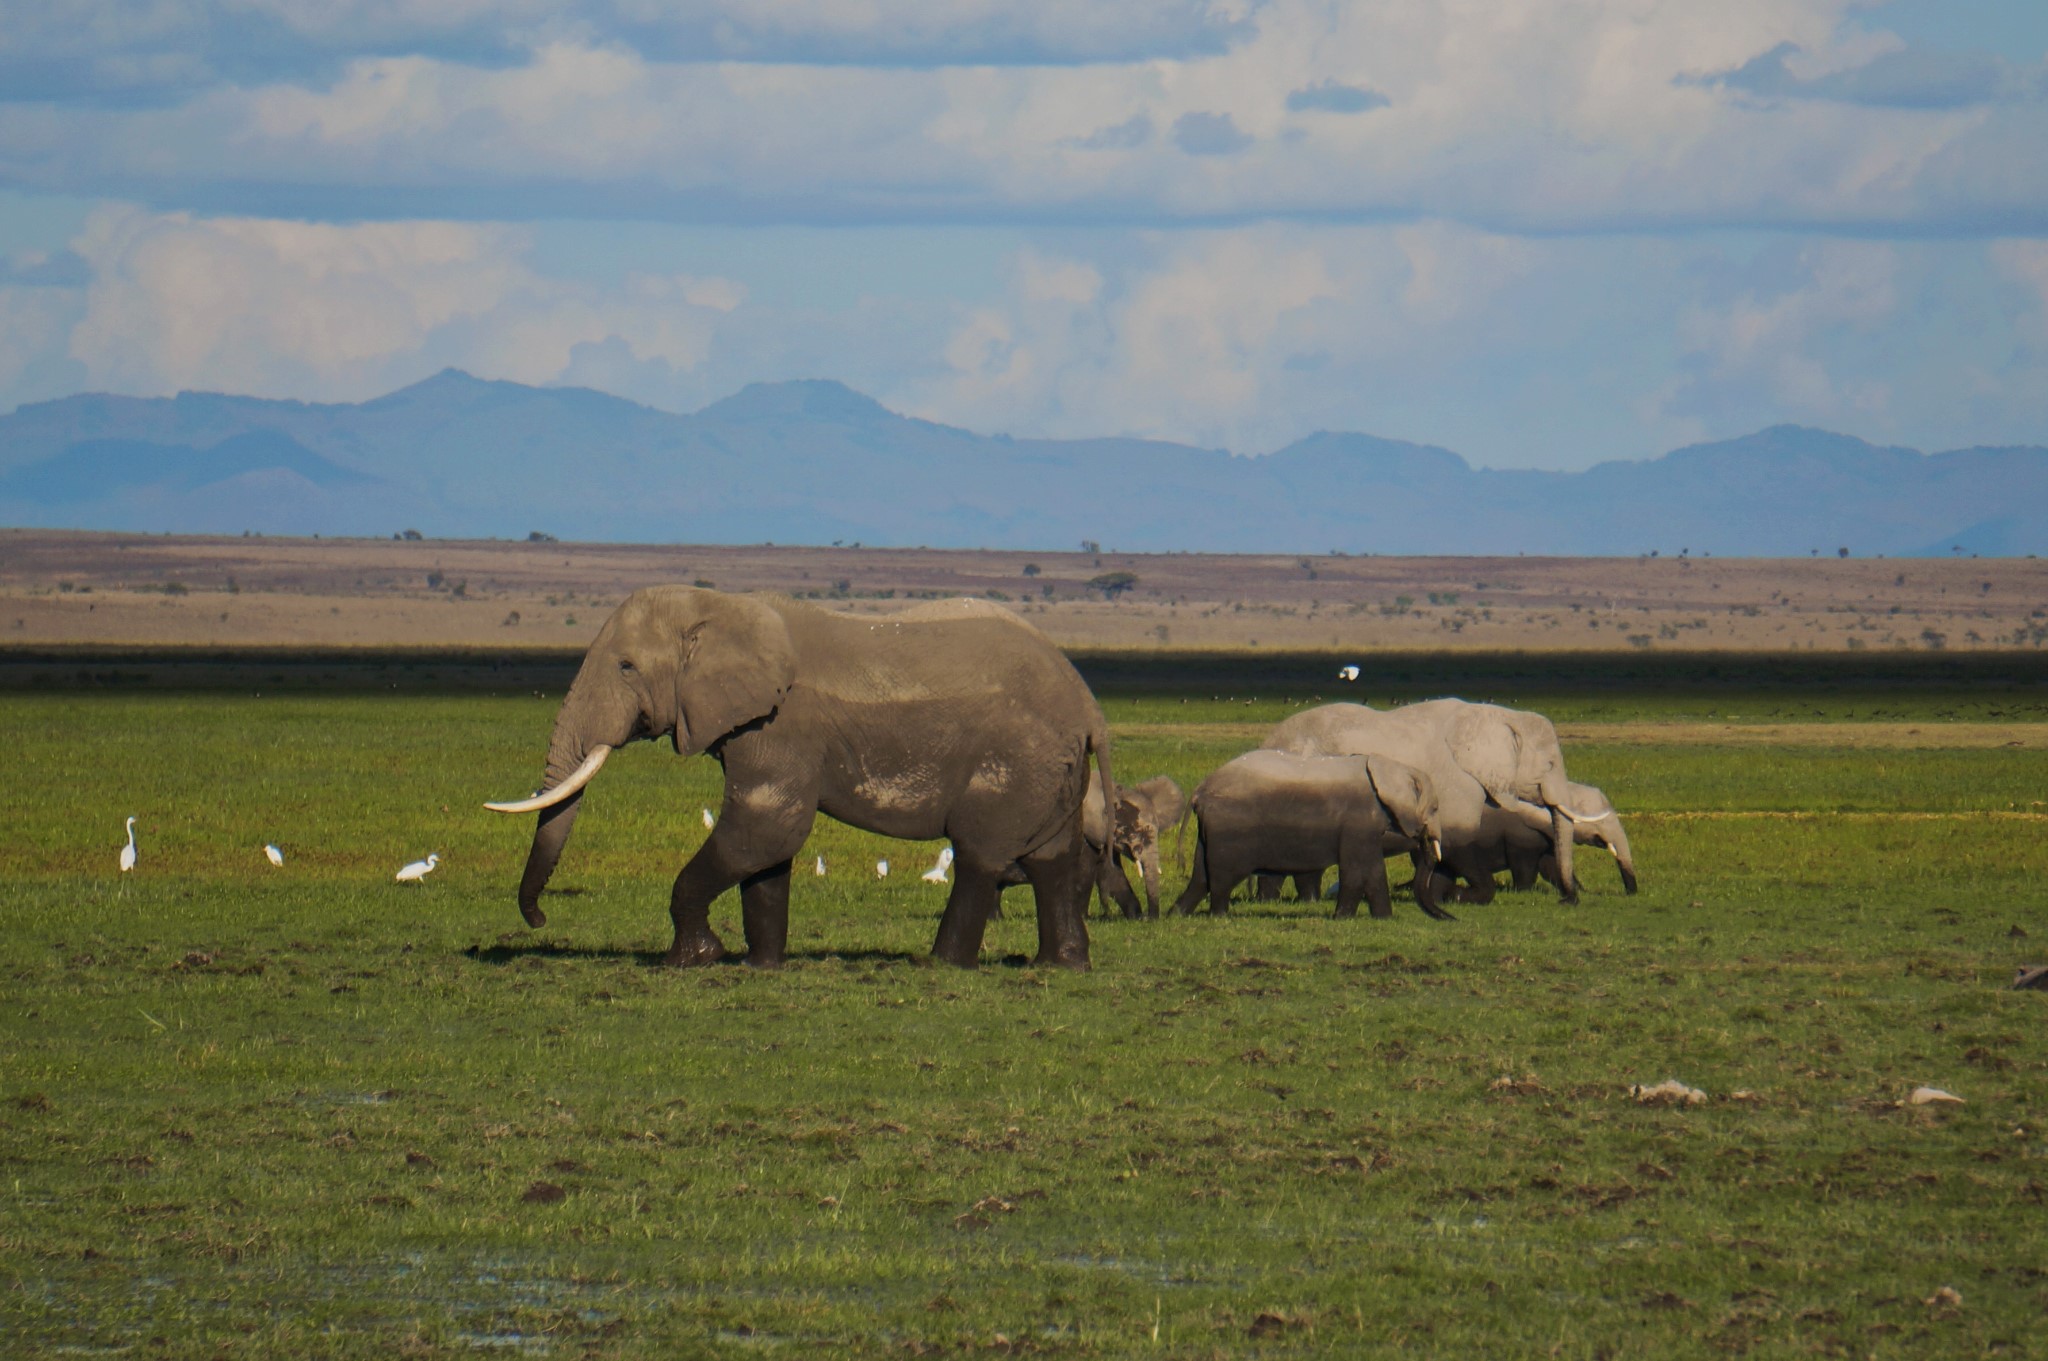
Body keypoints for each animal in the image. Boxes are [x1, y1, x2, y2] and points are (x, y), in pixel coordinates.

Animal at [481, 585, 1122, 966]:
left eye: (625, 666)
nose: (539, 920)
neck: (722, 606)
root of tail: (1090, 706)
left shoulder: (781, 724)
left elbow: (765, 829)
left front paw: (694, 959)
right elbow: (767, 851)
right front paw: (762, 966)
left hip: (1015, 759)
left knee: (982, 856)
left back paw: (942, 964)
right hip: (1053, 770)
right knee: (1051, 860)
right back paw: (1059, 964)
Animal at [1163, 749, 1449, 916]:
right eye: (1435, 808)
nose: (1450, 917)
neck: (1391, 767)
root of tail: (1200, 790)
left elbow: (1372, 871)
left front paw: (1382, 919)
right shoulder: (1358, 822)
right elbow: (1358, 870)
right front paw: (1342, 918)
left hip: (1209, 833)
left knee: (1201, 876)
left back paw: (1175, 915)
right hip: (1229, 831)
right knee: (1222, 877)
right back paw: (1220, 916)